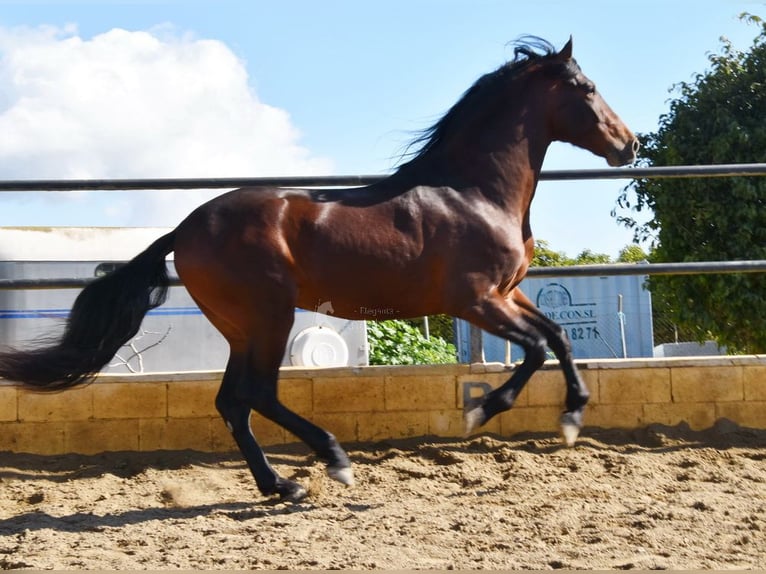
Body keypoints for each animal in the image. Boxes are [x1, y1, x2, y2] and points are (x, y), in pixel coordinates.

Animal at [0, 37, 636, 504]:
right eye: (585, 88)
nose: (628, 145)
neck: (473, 192)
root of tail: (185, 229)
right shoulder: (476, 300)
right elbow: (535, 349)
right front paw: (483, 409)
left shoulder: (509, 294)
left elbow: (558, 338)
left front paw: (572, 418)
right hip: (271, 315)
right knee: (257, 392)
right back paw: (330, 461)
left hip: (242, 327)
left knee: (233, 401)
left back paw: (281, 485)